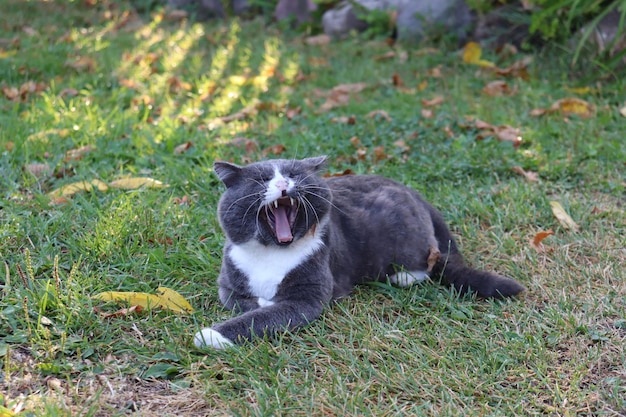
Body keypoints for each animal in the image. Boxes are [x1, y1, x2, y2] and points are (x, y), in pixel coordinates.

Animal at [193, 156, 524, 348]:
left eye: (294, 174)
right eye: (262, 180)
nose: (284, 183)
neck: (271, 252)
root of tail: (416, 194)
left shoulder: (309, 295)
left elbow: (266, 316)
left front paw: (210, 335)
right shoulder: (228, 282)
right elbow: (242, 302)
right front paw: (259, 303)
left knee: (431, 262)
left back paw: (403, 277)